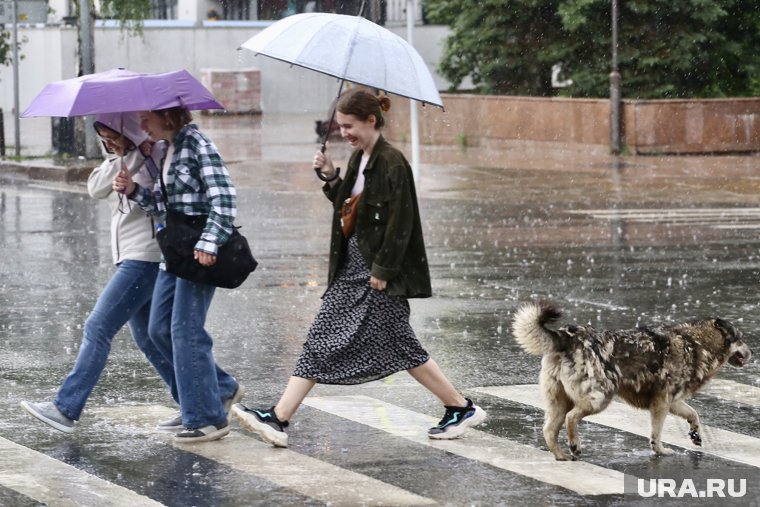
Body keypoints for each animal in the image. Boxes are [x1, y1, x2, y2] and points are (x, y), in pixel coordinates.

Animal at [512, 302, 752, 460]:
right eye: (741, 338)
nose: (752, 353)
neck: (697, 344)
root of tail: (570, 336)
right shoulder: (662, 403)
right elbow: (656, 433)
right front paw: (660, 450)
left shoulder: (673, 401)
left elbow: (694, 414)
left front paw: (695, 434)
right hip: (599, 397)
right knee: (572, 418)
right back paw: (574, 445)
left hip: (559, 402)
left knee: (549, 431)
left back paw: (561, 455)